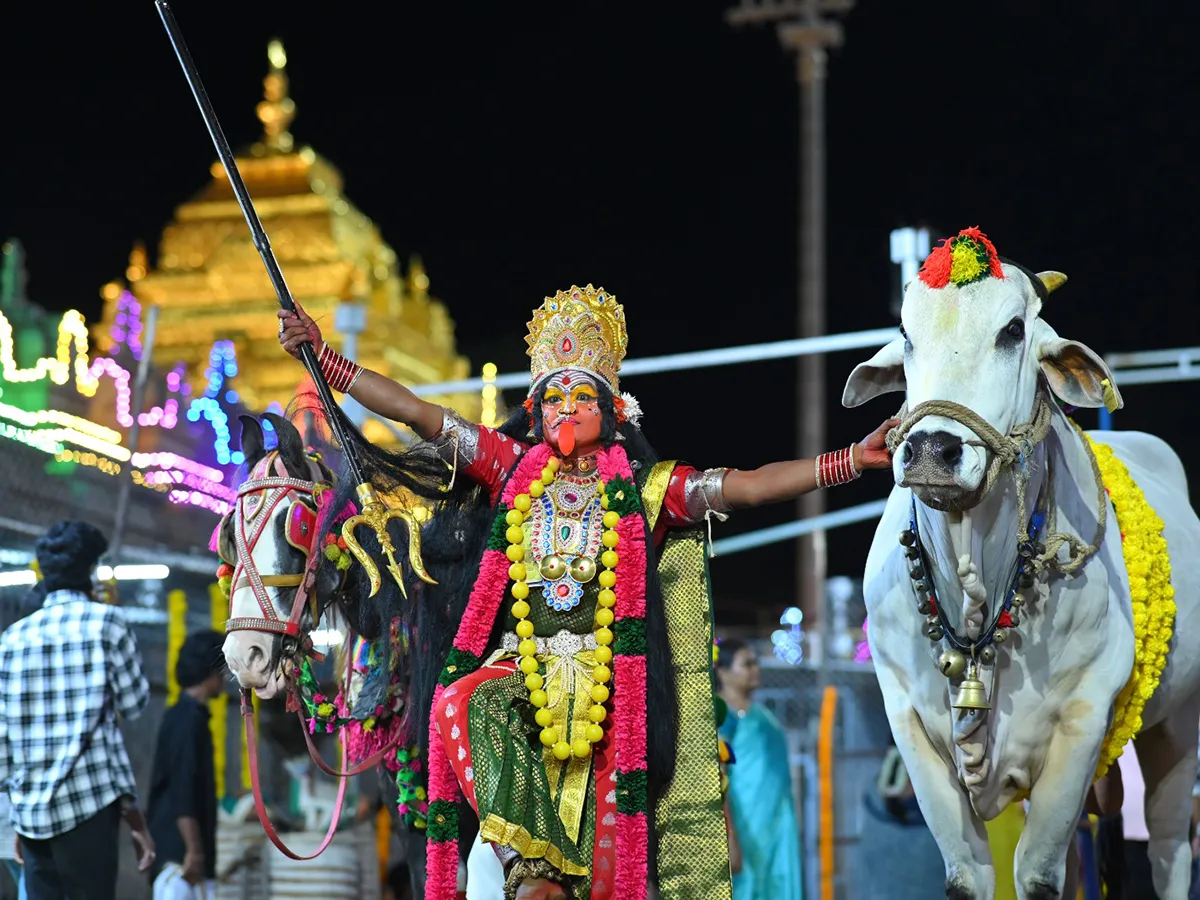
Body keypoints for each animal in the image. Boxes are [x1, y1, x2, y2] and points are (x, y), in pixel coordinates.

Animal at [844, 244, 1200, 900]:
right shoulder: (909, 725)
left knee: (1168, 851)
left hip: (1178, 725)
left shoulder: (1082, 722)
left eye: (1012, 330)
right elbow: (968, 878)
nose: (931, 451)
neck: (974, 585)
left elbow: (1036, 876)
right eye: (906, 333)